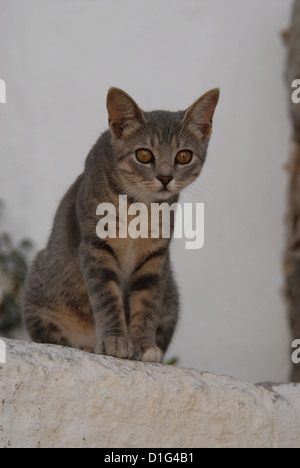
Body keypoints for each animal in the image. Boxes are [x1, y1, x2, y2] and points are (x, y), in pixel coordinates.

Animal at [21, 86, 218, 362]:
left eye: (184, 156)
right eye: (144, 154)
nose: (165, 177)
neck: (140, 207)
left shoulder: (156, 255)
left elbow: (147, 302)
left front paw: (143, 345)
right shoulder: (96, 246)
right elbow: (107, 297)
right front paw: (115, 340)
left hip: (172, 296)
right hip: (41, 290)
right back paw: (83, 346)